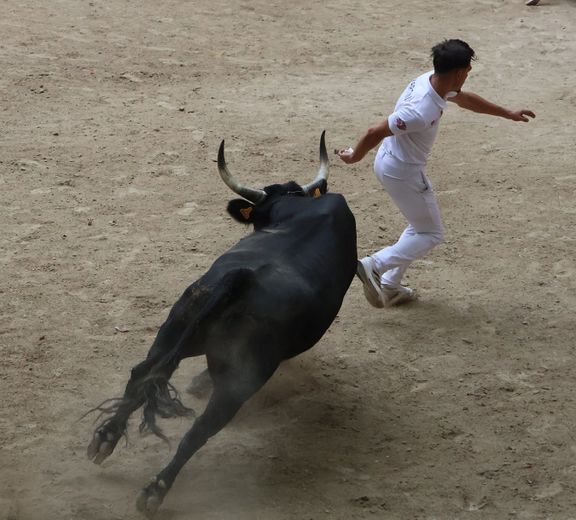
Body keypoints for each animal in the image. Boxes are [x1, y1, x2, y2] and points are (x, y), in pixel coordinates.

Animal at [86, 131, 356, 516]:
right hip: (240, 383)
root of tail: (240, 280)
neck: (298, 209)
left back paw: (106, 439)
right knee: (201, 429)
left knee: (143, 374)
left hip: (176, 323)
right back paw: (155, 490)